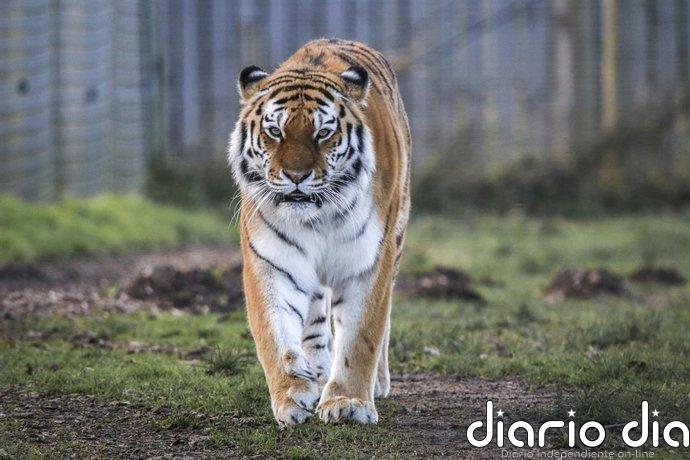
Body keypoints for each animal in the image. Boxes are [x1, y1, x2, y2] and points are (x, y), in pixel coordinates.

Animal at [228, 38, 410, 426]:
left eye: (323, 133)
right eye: (275, 131)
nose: (297, 176)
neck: (318, 217)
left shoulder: (368, 262)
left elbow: (361, 336)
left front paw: (349, 402)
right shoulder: (271, 263)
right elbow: (276, 335)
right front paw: (291, 397)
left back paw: (377, 383)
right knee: (313, 321)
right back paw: (318, 373)